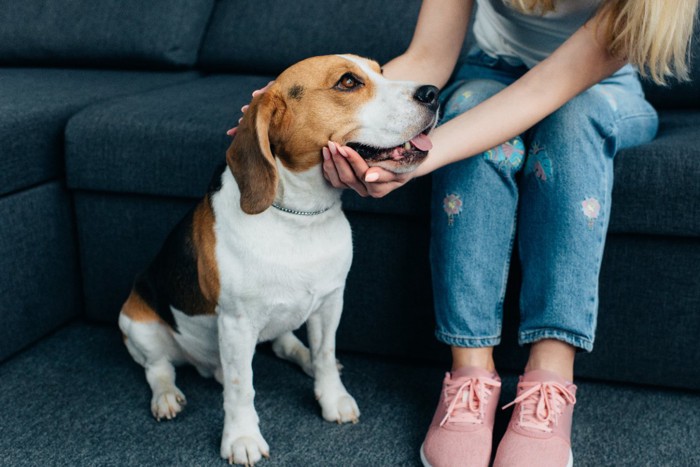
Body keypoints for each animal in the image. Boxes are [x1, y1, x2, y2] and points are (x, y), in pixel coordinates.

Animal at [118, 54, 440, 464]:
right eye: (348, 82)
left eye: (381, 71)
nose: (433, 93)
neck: (300, 216)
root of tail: (205, 367)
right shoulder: (236, 325)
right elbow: (241, 387)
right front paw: (242, 438)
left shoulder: (330, 302)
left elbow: (324, 354)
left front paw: (332, 397)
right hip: (136, 322)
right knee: (159, 368)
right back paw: (166, 397)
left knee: (286, 343)